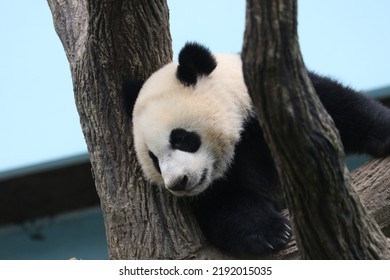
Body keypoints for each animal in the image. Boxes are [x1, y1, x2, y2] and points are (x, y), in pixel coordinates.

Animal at [124, 41, 390, 256]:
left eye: (180, 138)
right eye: (153, 158)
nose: (178, 182)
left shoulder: (265, 99)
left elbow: (336, 108)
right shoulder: (213, 187)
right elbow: (226, 205)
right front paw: (272, 233)